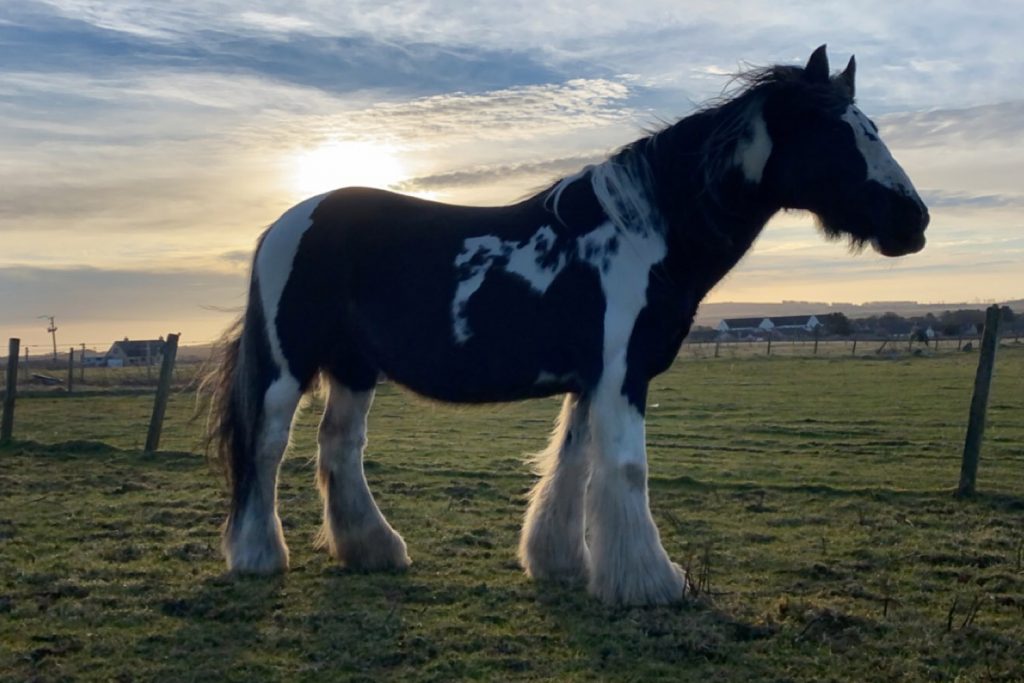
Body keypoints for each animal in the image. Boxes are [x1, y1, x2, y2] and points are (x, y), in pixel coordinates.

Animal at [201, 45, 929, 606]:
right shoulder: (622, 375)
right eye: (841, 135)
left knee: (340, 448)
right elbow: (626, 470)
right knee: (266, 449)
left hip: (354, 369)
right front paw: (650, 582)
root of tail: (288, 222)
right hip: (286, 369)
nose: (914, 222)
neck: (645, 235)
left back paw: (372, 549)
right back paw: (259, 556)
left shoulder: (591, 381)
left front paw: (562, 563)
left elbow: (573, 465)